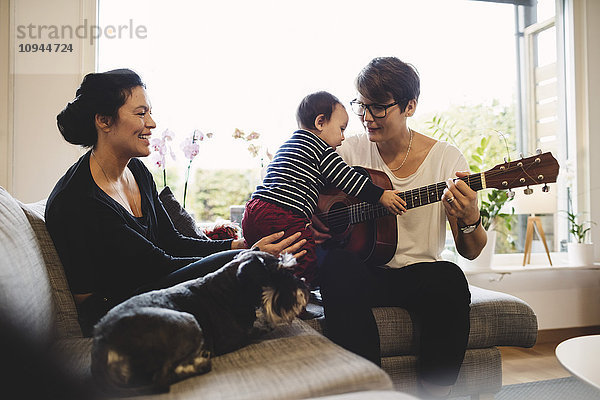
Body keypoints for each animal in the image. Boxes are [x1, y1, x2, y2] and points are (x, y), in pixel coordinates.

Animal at [91, 252, 312, 396]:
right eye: (279, 273)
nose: (306, 290)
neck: (230, 289)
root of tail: (103, 341)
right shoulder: (233, 337)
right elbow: (262, 326)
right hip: (187, 321)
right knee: (161, 380)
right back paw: (200, 362)